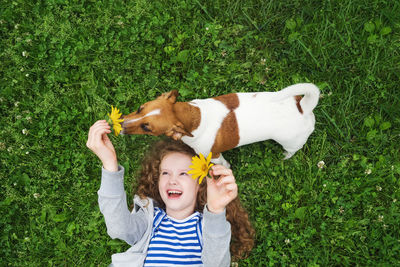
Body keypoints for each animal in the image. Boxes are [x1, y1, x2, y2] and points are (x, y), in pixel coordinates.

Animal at [120, 84, 320, 168]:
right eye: (140, 108)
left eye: (147, 128)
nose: (121, 125)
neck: (195, 117)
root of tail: (303, 107)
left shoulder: (214, 155)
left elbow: (222, 163)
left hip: (290, 141)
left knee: (292, 150)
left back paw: (285, 156)